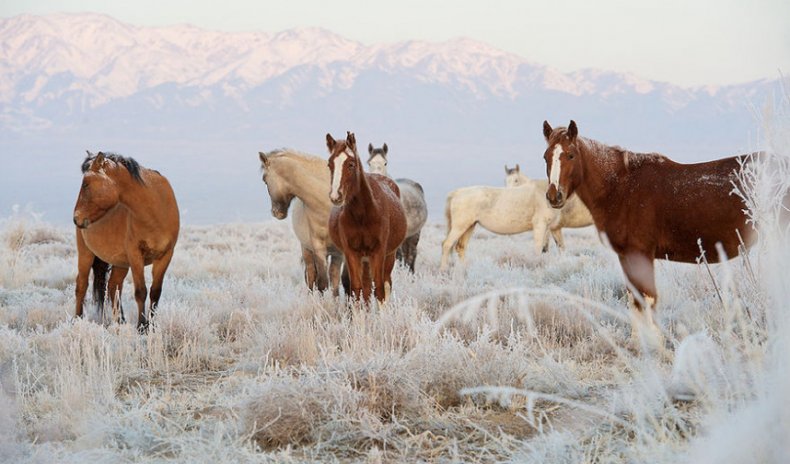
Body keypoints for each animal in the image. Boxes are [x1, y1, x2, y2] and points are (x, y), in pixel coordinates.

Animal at [73, 151, 180, 330]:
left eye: (86, 184)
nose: (76, 218)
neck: (155, 211)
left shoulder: (165, 256)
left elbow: (155, 292)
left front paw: (151, 326)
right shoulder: (135, 255)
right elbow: (141, 291)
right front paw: (141, 327)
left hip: (120, 263)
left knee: (113, 286)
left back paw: (120, 321)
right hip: (86, 254)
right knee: (81, 285)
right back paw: (77, 320)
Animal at [260, 150, 346, 294]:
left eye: (265, 180)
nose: (276, 212)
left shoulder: (341, 251)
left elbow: (338, 284)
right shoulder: (318, 247)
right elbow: (322, 283)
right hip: (307, 250)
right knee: (311, 276)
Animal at [440, 165, 592, 270]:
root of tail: (456, 193)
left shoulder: (553, 228)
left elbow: (557, 248)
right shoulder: (540, 225)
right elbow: (538, 248)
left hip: (470, 226)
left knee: (461, 247)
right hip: (460, 226)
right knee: (447, 244)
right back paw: (443, 270)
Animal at [540, 121, 756, 350]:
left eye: (571, 155)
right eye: (546, 157)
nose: (554, 196)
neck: (621, 188)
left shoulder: (641, 253)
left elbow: (648, 297)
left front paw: (655, 344)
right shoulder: (626, 255)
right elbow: (634, 297)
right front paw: (636, 342)